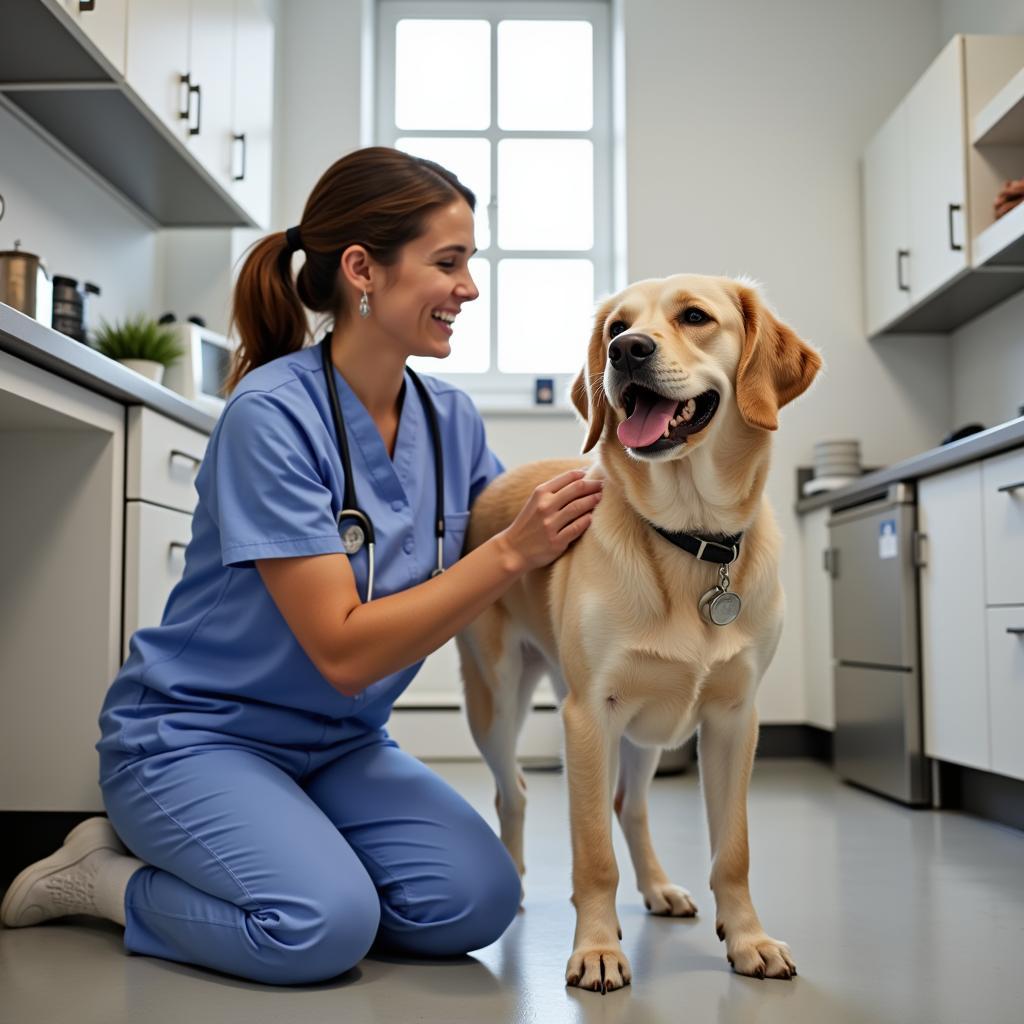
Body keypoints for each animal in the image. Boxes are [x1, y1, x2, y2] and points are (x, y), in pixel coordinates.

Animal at [452, 272, 819, 991]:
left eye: (696, 317)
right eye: (617, 326)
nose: (626, 351)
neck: (692, 537)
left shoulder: (734, 717)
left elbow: (732, 850)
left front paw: (749, 940)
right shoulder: (588, 715)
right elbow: (592, 851)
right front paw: (597, 948)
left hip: (651, 720)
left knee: (630, 803)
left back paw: (657, 888)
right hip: (497, 700)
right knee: (515, 790)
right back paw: (515, 879)